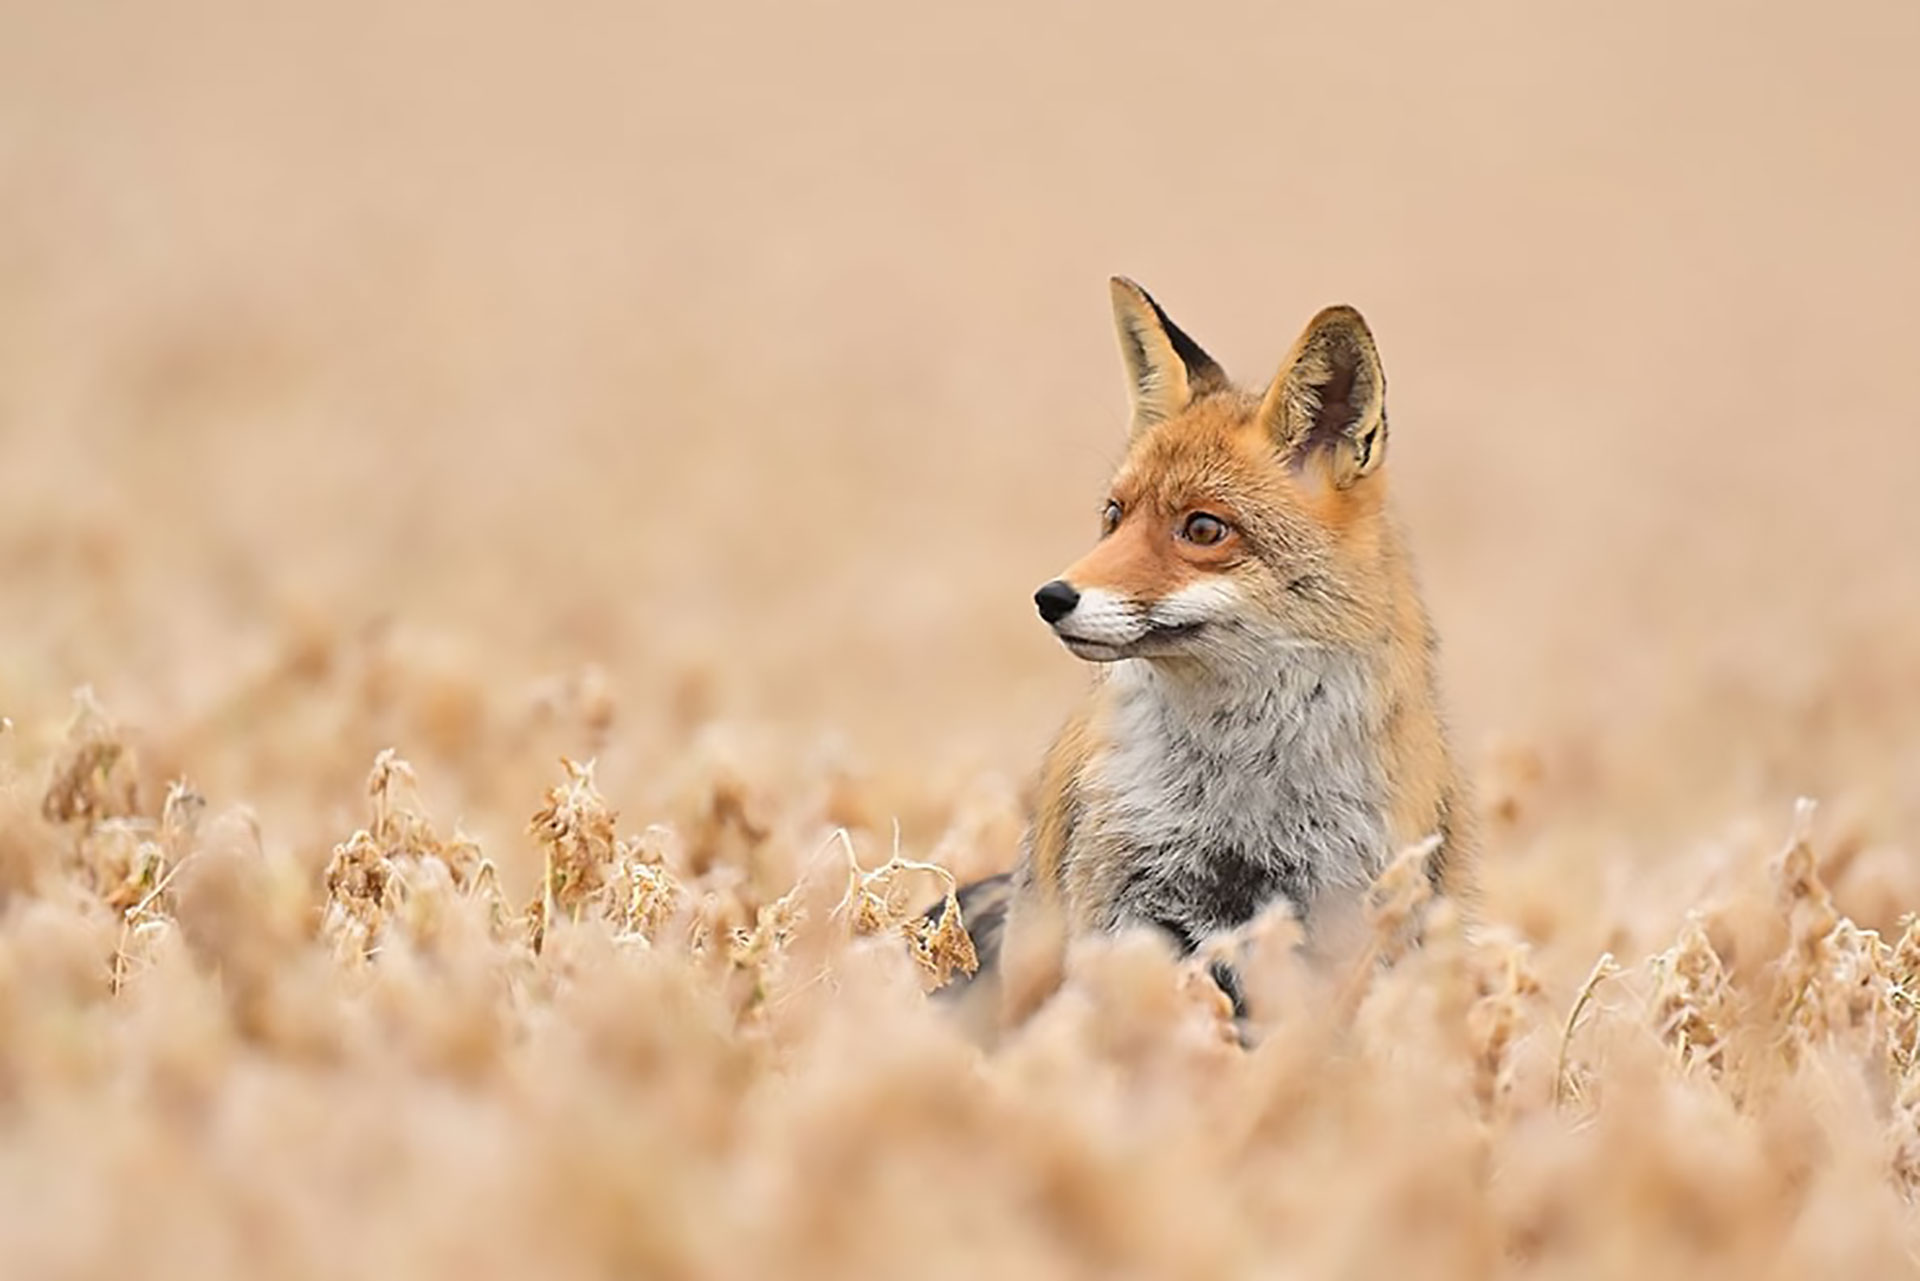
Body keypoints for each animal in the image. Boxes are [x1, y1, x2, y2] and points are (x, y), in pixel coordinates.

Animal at [941, 278, 1474, 1033]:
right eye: (1113, 515)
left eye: (1201, 528)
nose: (1051, 597)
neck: (1242, 796)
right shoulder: (1128, 916)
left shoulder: (1338, 928)